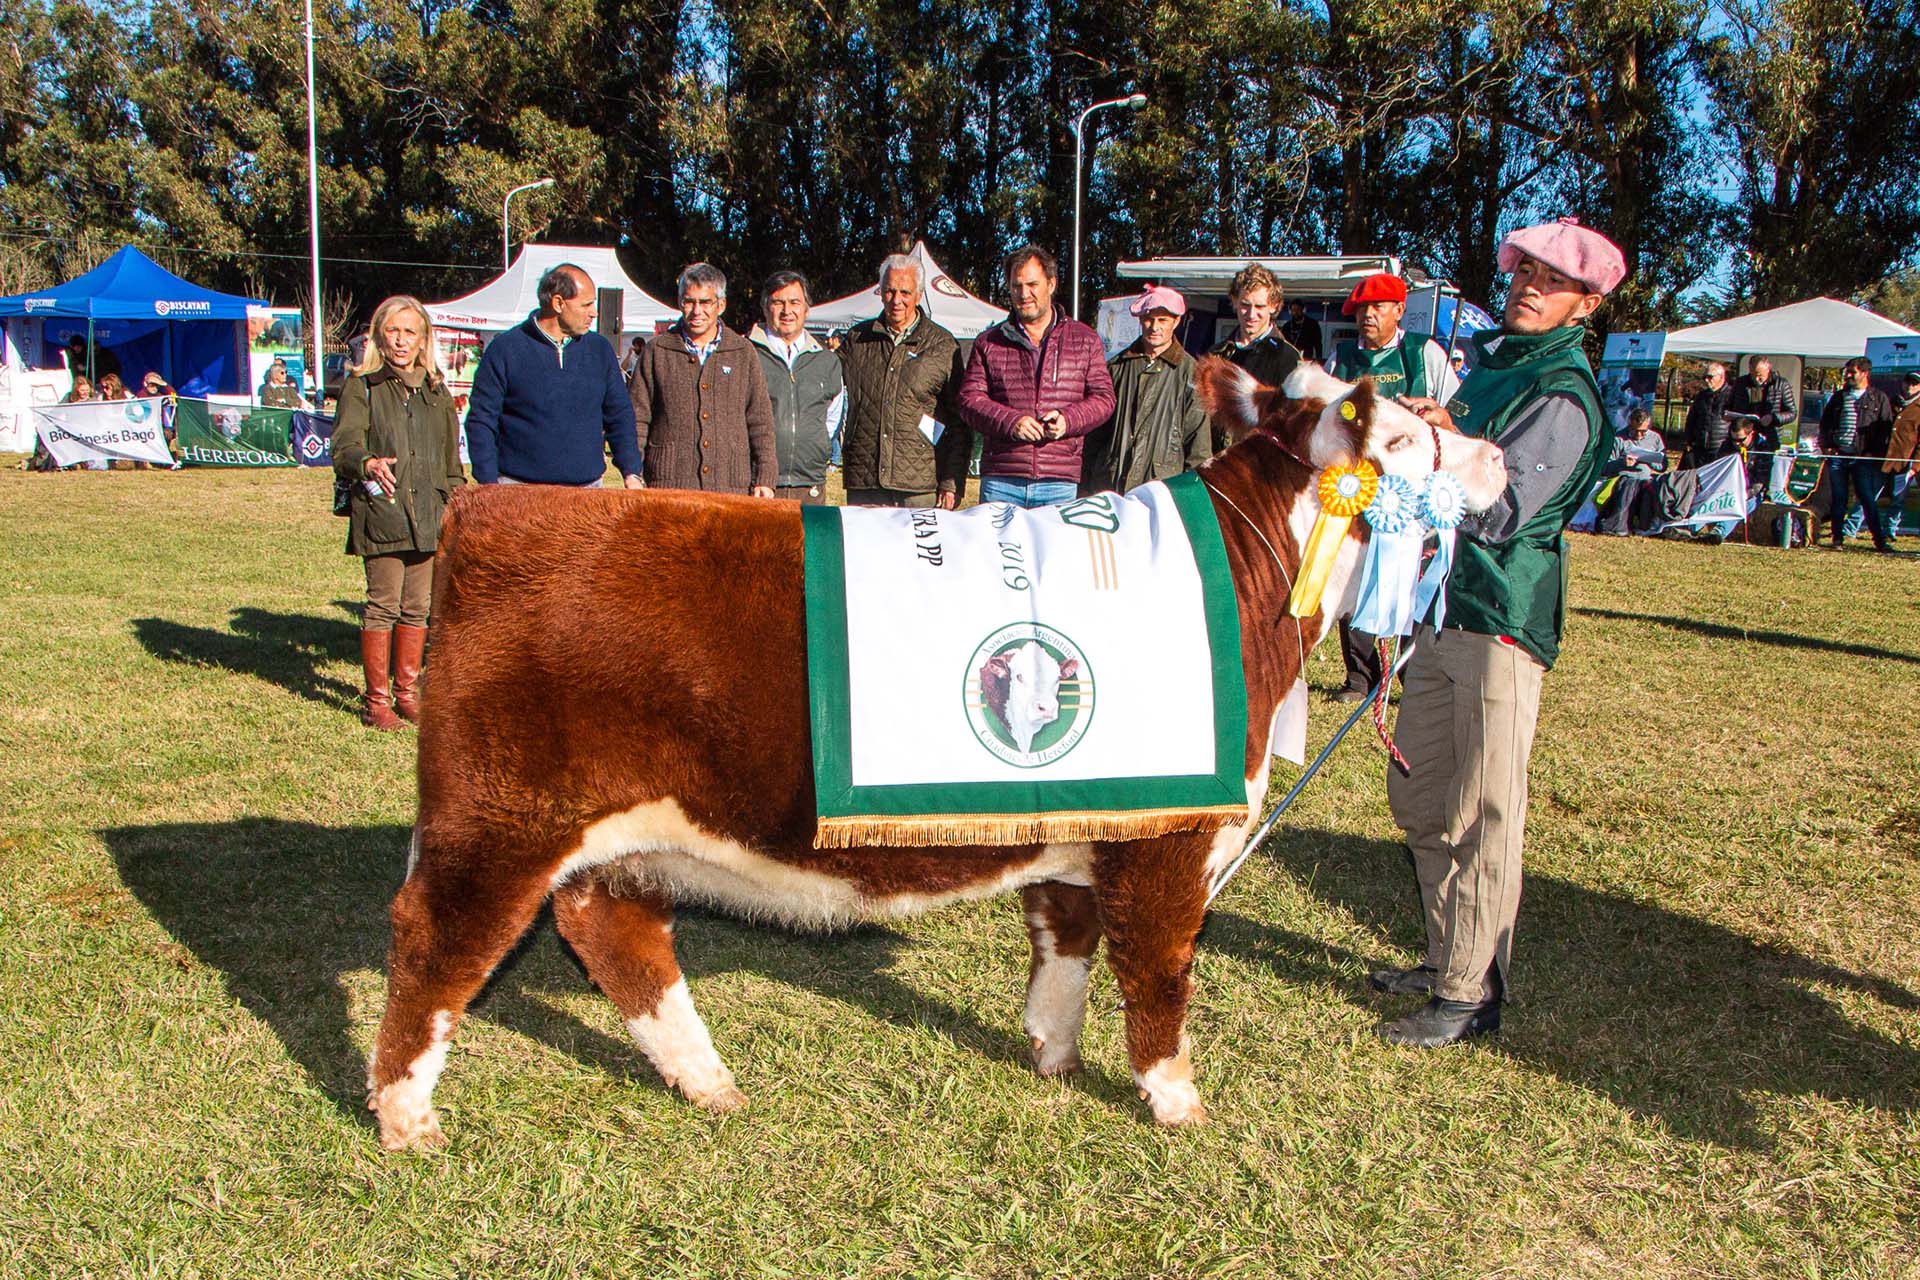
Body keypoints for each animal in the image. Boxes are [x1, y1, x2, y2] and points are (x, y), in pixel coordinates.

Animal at [366, 360, 1505, 1151]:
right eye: (1411, 434)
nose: (1497, 455)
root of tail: (495, 500)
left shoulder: (1090, 822)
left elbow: (1065, 944)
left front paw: (1052, 1053)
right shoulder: (1170, 837)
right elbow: (1160, 970)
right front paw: (1177, 1099)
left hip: (614, 829)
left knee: (613, 930)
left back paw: (707, 1080)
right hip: (502, 814)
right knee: (436, 939)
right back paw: (404, 1118)